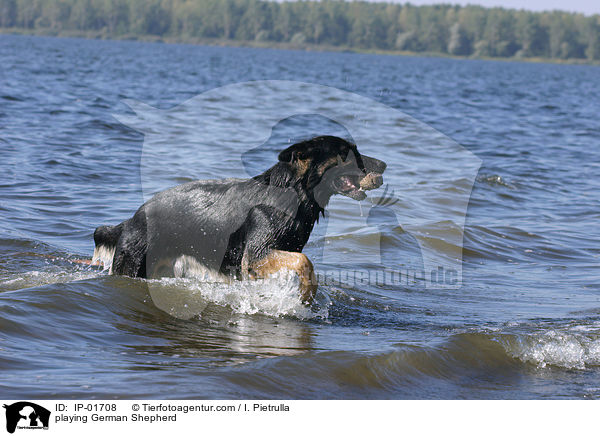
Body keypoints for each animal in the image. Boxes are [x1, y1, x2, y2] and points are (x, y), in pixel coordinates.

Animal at [92, 136, 386, 304]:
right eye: (348, 153)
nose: (384, 165)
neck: (293, 192)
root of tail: (131, 220)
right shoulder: (255, 255)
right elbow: (306, 262)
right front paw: (306, 293)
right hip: (132, 265)